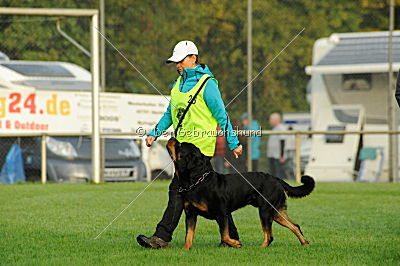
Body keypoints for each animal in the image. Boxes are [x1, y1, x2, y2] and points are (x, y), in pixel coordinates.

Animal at [166, 137, 316, 249]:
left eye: (180, 145)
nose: (172, 138)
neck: (196, 181)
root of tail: (276, 178)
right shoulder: (190, 214)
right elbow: (189, 236)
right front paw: (185, 250)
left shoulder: (222, 213)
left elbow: (225, 235)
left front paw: (236, 243)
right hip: (276, 211)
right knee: (295, 226)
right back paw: (305, 243)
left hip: (265, 211)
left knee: (269, 235)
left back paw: (260, 248)